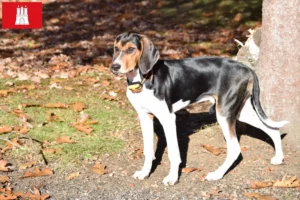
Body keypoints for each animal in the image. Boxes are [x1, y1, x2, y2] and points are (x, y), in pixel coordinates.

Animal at [109, 31, 286, 186]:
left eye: (131, 49)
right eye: (116, 48)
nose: (114, 67)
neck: (143, 79)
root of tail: (245, 67)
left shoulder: (168, 118)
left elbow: (173, 152)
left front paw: (172, 178)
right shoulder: (145, 116)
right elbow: (147, 150)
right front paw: (145, 172)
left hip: (223, 114)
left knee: (235, 148)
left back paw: (217, 174)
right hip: (240, 112)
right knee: (272, 129)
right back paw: (278, 158)